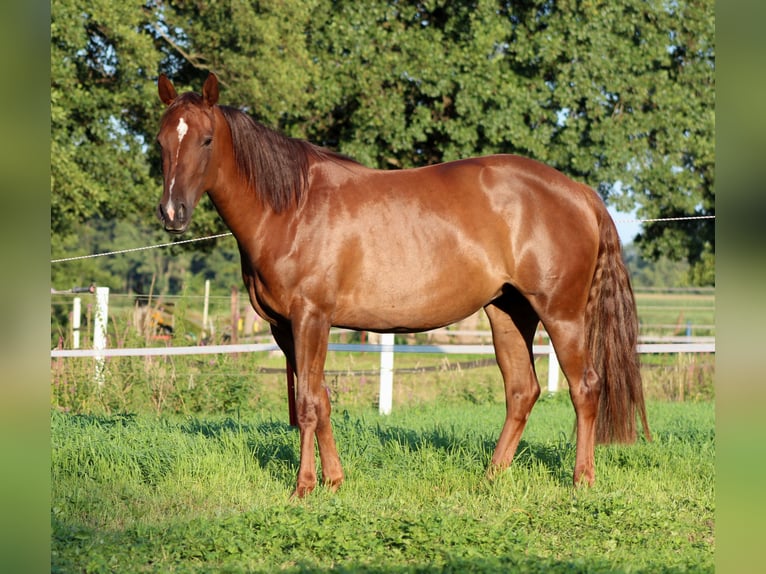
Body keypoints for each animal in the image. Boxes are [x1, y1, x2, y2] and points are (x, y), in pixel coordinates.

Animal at [156, 73, 650, 497]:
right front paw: (333, 481)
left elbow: (309, 403)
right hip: (509, 311)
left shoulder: (311, 318)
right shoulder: (285, 328)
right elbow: (320, 399)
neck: (292, 209)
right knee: (521, 391)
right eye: (161, 141)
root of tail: (580, 193)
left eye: (206, 139)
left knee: (585, 386)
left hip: (561, 314)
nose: (172, 213)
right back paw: (490, 477)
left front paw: (303, 488)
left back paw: (581, 479)